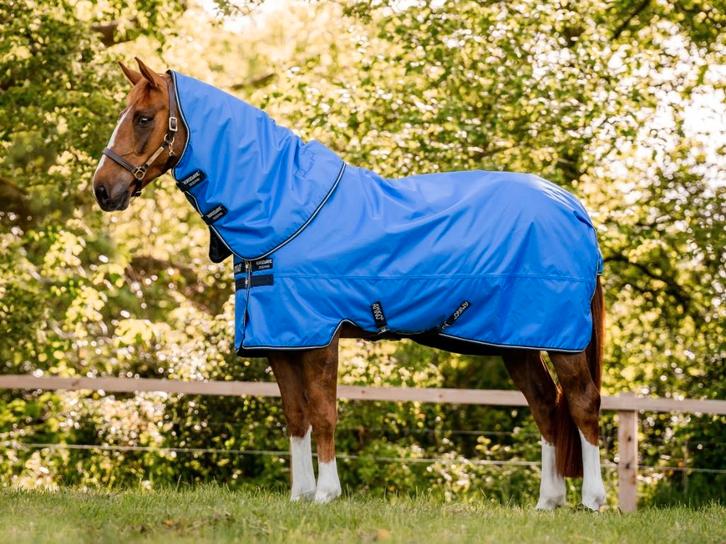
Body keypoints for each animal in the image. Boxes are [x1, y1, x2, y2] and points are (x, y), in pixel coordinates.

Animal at [92, 58, 606, 510]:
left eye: (143, 117)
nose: (103, 189)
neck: (286, 206)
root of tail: (571, 205)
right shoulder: (280, 341)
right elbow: (296, 416)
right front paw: (300, 495)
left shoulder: (321, 336)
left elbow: (324, 412)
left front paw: (326, 494)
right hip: (517, 342)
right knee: (545, 407)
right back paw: (548, 502)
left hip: (561, 340)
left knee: (582, 403)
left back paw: (593, 501)